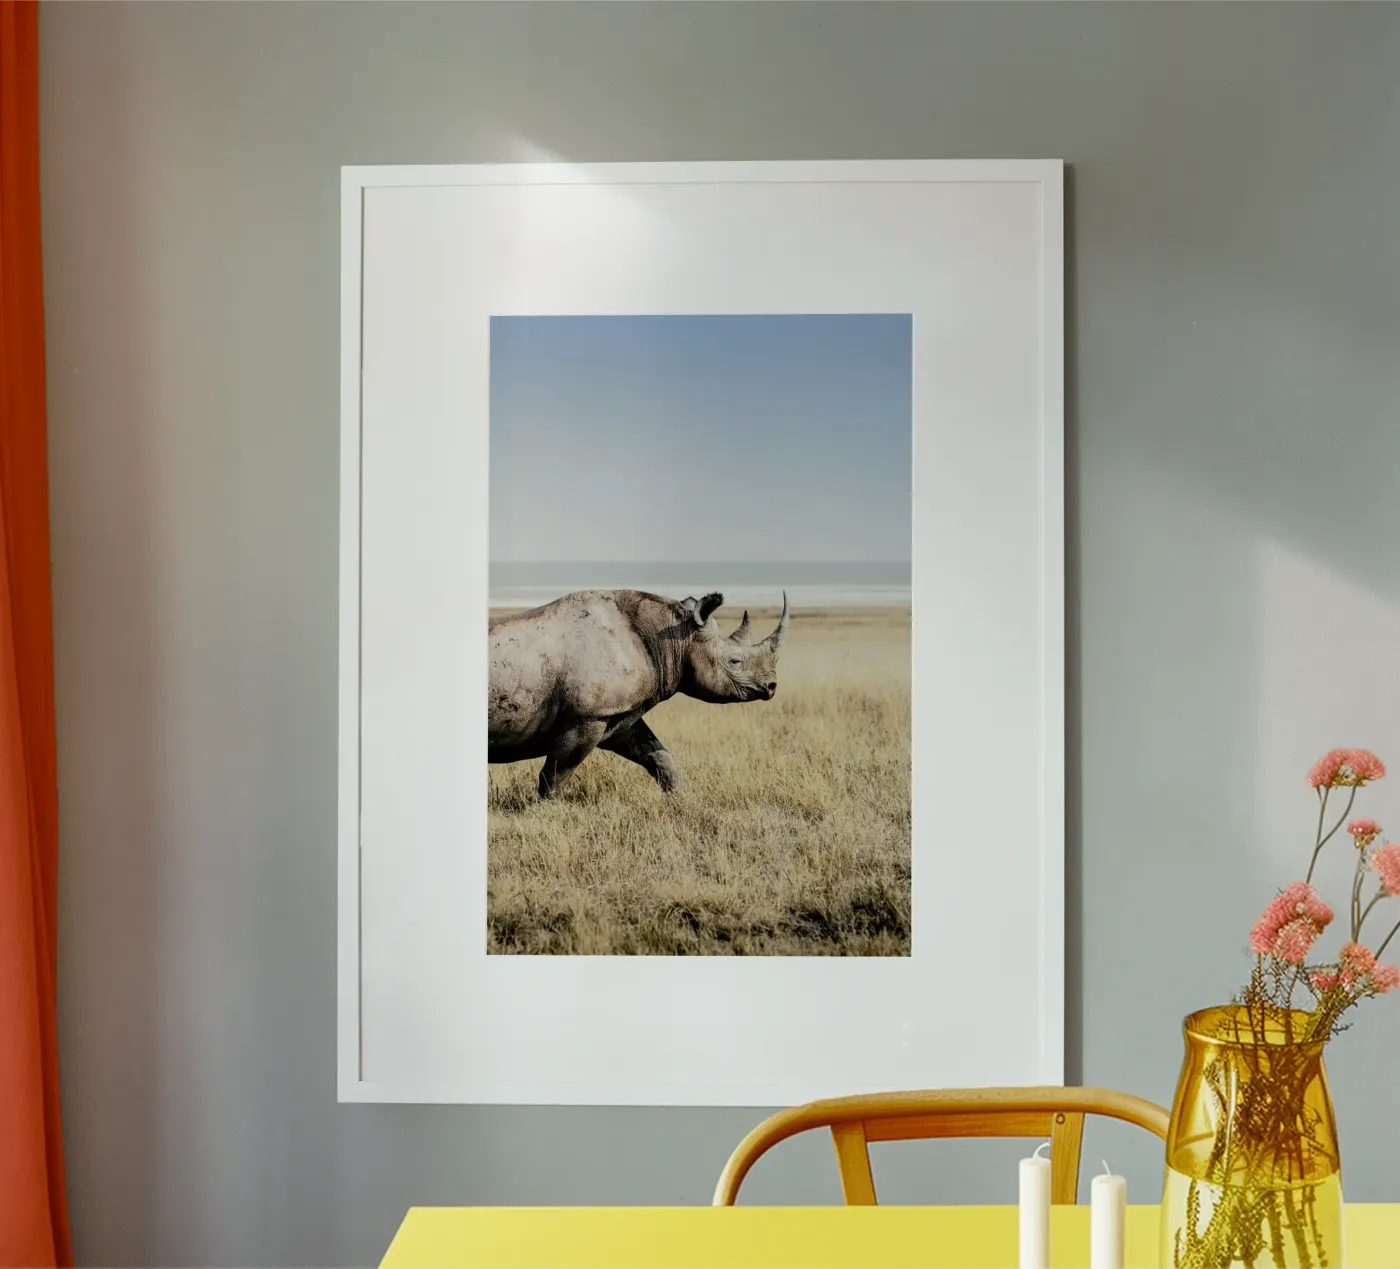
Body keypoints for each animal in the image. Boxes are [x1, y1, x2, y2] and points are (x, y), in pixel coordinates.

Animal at [488, 588, 788, 799]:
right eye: (735, 662)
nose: (772, 687)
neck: (674, 639)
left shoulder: (616, 712)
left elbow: (656, 754)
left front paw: (677, 800)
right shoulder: (587, 715)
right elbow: (557, 773)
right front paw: (546, 812)